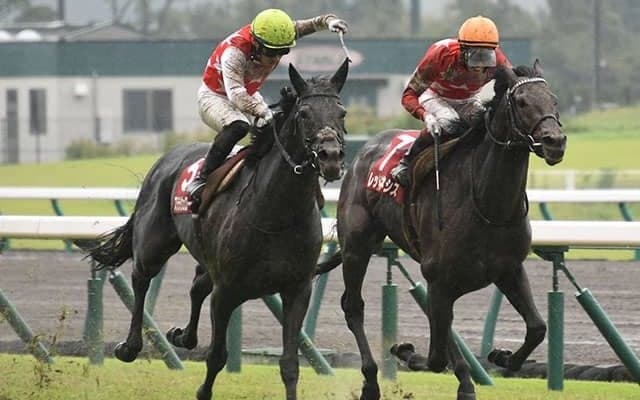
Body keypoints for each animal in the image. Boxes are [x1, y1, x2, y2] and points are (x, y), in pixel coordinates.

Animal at [80, 59, 349, 400]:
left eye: (342, 112)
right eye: (303, 114)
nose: (331, 157)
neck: (276, 215)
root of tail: (167, 157)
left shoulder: (297, 289)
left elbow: (290, 364)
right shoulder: (227, 291)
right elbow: (217, 355)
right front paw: (202, 389)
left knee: (196, 285)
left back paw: (183, 335)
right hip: (154, 242)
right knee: (141, 278)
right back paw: (130, 346)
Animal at [320, 60, 566, 400]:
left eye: (553, 100)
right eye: (521, 102)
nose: (555, 142)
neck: (487, 203)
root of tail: (364, 150)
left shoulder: (508, 269)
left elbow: (537, 328)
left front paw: (501, 356)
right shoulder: (439, 277)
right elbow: (435, 357)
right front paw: (406, 351)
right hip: (357, 246)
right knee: (353, 306)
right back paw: (371, 381)